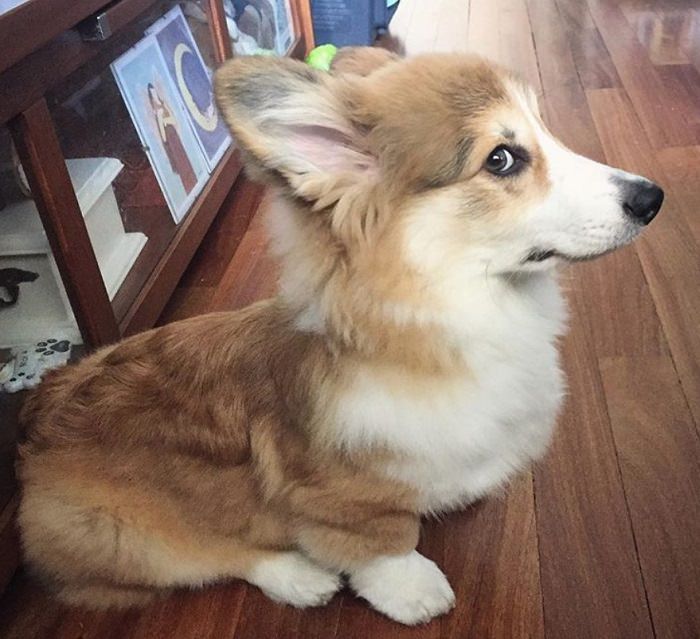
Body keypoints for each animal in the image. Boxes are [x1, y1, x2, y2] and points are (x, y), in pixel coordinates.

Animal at [16, 48, 660, 624]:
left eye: (545, 130)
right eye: (501, 159)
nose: (652, 197)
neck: (453, 315)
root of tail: (36, 415)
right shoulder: (342, 498)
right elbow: (383, 542)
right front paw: (413, 590)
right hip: (117, 532)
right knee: (205, 556)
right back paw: (298, 577)